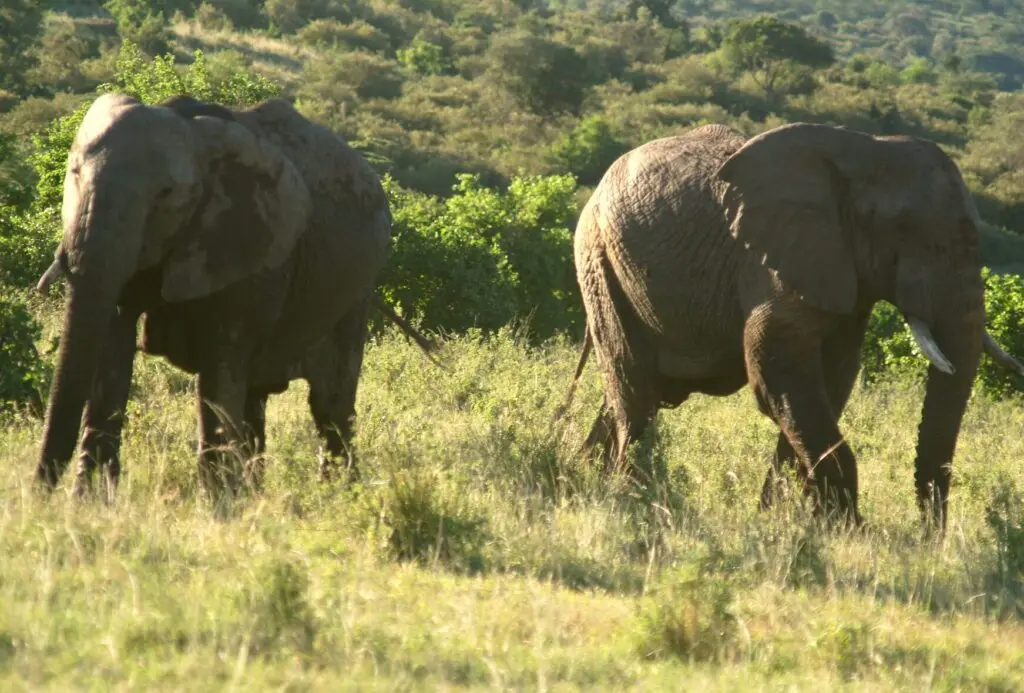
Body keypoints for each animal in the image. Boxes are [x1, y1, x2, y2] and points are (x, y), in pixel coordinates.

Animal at [33, 92, 434, 505]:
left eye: (167, 196)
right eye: (74, 173)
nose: (37, 496)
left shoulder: (247, 248)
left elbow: (219, 371)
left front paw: (216, 508)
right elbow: (111, 357)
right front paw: (90, 503)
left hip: (355, 287)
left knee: (329, 402)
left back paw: (339, 497)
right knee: (256, 398)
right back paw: (258, 493)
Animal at [561, 122, 1024, 528]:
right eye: (907, 234)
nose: (927, 539)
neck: (865, 150)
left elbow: (831, 381)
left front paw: (782, 520)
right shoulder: (775, 260)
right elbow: (778, 373)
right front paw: (848, 530)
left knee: (631, 395)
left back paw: (585, 477)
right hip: (600, 261)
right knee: (636, 395)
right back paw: (634, 498)